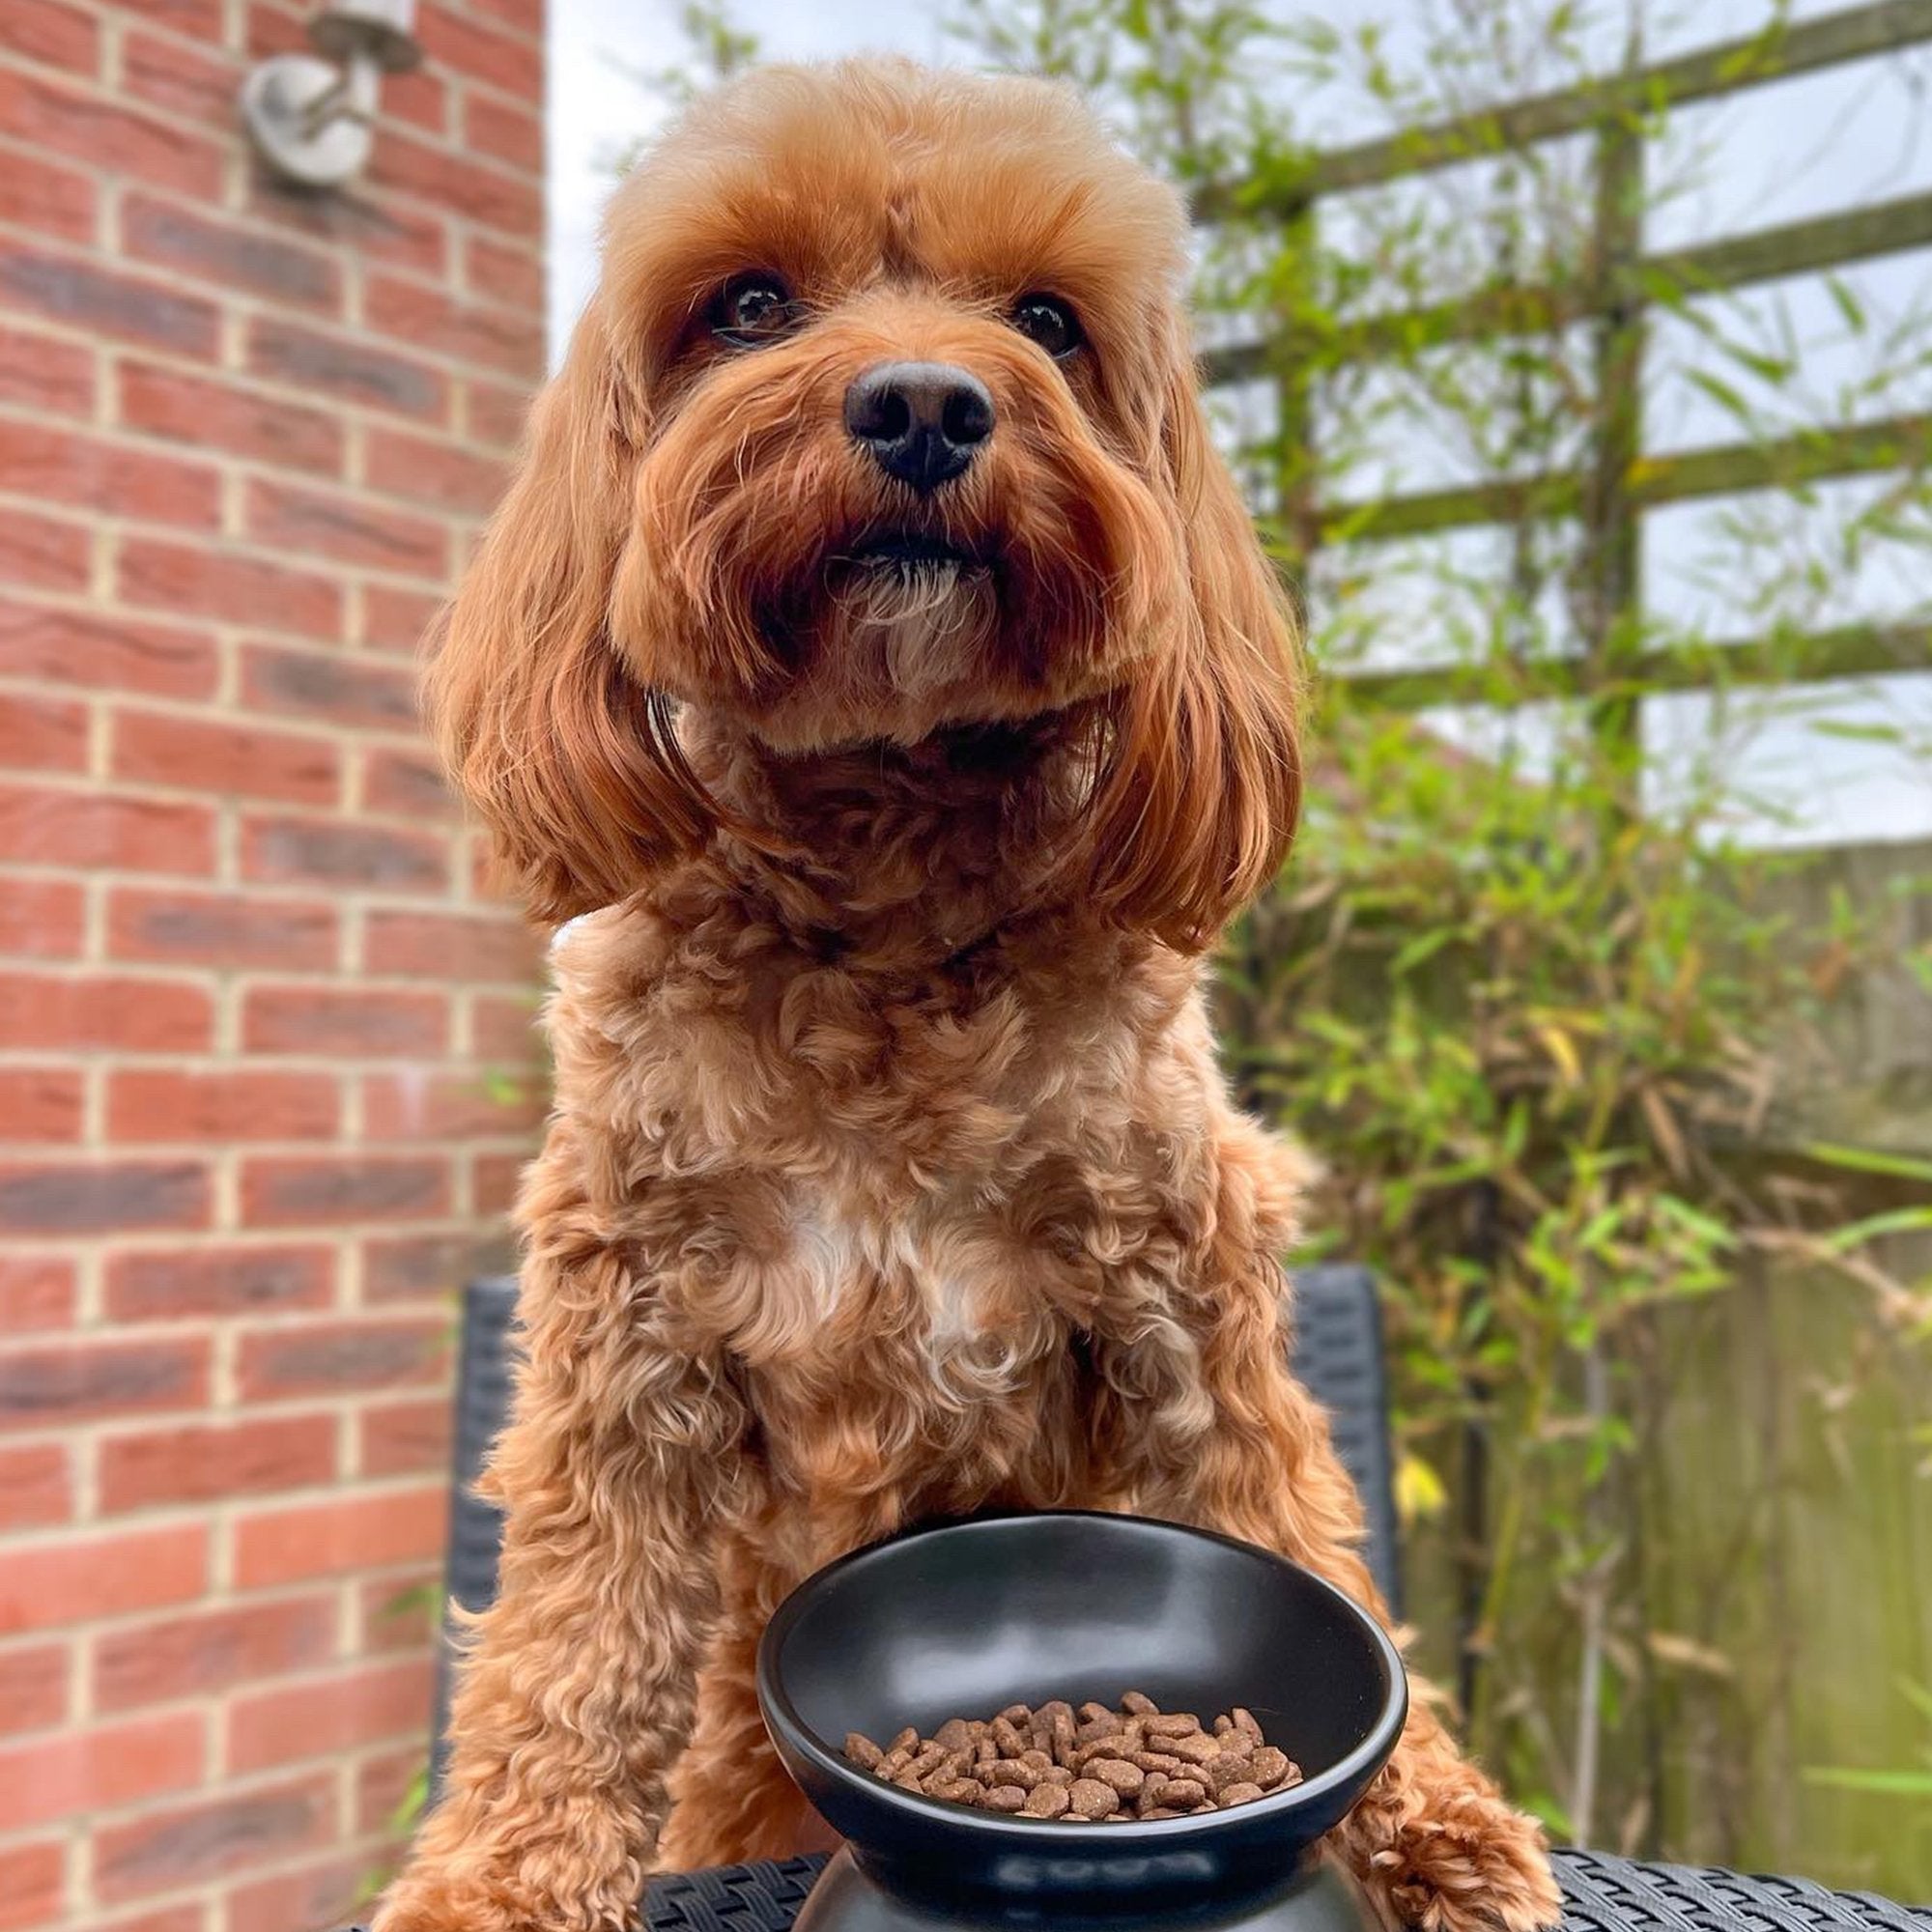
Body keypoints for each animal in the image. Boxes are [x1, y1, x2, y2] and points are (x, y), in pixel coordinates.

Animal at [373, 52, 1553, 1932]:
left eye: (1049, 321)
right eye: (749, 303)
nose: (927, 404)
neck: (887, 898)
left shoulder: (1187, 1293)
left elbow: (1288, 1509)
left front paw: (1432, 1817)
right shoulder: (623, 1334)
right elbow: (568, 1639)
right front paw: (494, 1883)